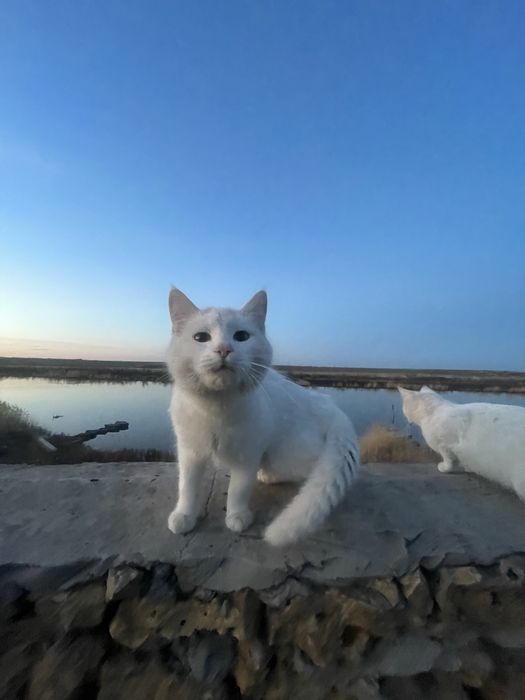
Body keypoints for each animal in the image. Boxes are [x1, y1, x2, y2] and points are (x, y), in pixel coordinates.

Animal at [166, 287, 359, 547]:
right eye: (201, 338)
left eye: (241, 336)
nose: (224, 349)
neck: (217, 408)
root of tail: (326, 403)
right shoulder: (189, 452)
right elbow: (187, 487)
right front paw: (184, 516)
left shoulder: (248, 454)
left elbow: (238, 489)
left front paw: (236, 516)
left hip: (285, 456)